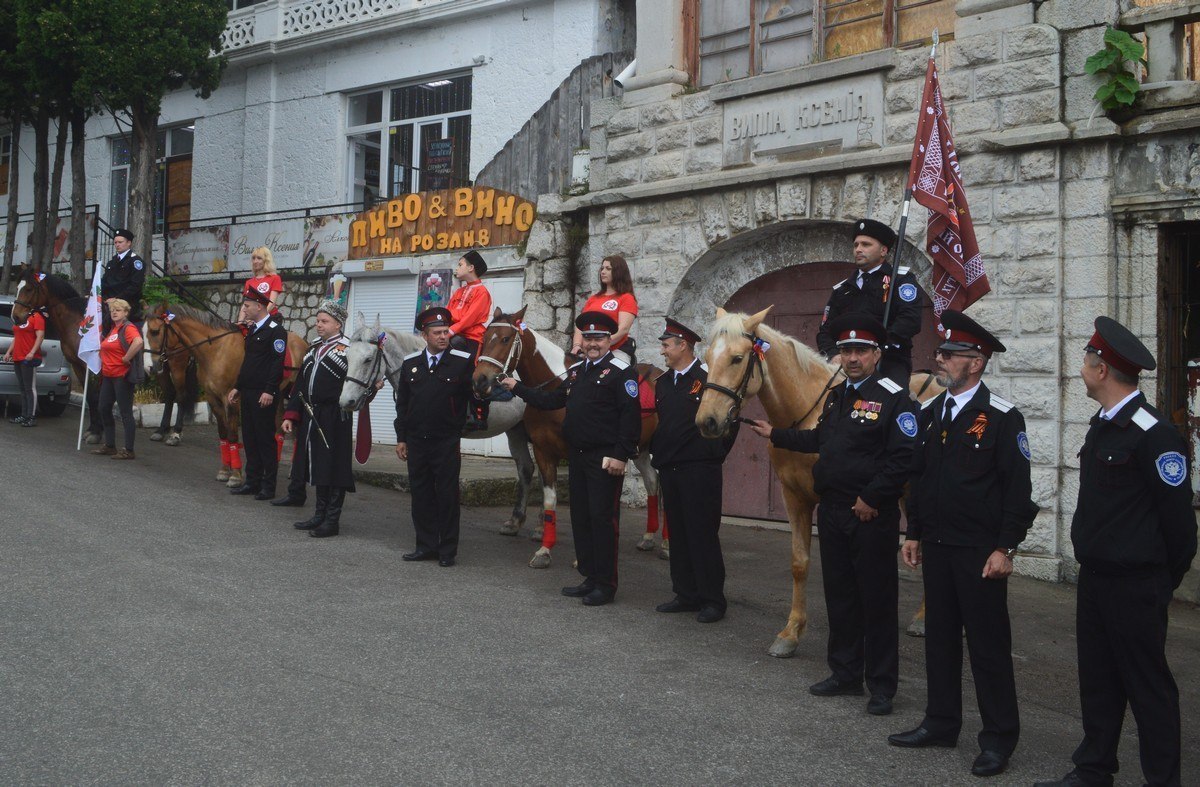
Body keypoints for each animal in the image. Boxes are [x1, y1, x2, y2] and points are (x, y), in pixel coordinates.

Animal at [9, 267, 194, 441]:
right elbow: (91, 397)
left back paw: (175, 433)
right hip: (159, 367)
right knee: (170, 394)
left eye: (29, 289)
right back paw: (161, 431)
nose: (16, 317)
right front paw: (93, 429)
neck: (77, 322)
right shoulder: (78, 365)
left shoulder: (93, 366)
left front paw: (97, 432)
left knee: (181, 396)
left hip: (177, 366)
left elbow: (96, 397)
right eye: (17, 287)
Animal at [144, 301, 309, 484]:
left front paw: (235, 475)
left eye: (155, 331)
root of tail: (303, 343)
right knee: (279, 428)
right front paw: (224, 470)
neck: (216, 350)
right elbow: (223, 433)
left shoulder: (230, 399)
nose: (150, 367)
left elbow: (232, 435)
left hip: (293, 393)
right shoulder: (212, 398)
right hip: (277, 394)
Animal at [338, 314, 540, 559]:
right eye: (347, 357)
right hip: (516, 430)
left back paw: (540, 529)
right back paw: (515, 522)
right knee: (526, 469)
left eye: (368, 359)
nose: (346, 401)